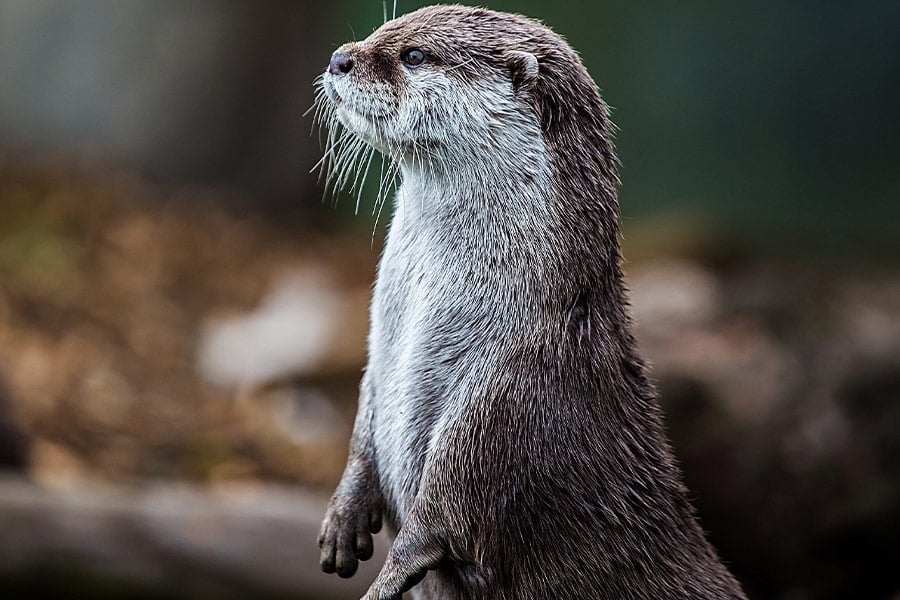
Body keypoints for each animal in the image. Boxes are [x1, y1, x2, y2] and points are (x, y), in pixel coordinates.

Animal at [314, 6, 746, 599]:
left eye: (415, 55)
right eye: (385, 29)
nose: (339, 57)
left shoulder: (505, 391)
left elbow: (440, 517)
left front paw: (386, 579)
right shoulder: (379, 352)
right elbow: (364, 420)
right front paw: (343, 517)